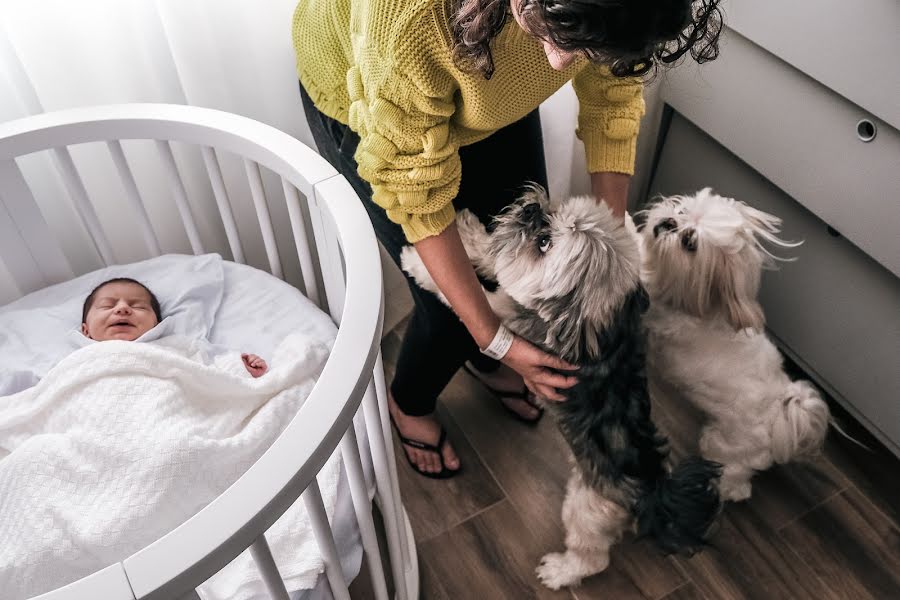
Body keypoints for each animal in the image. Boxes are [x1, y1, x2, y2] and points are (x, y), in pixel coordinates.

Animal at [400, 189, 716, 592]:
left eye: (544, 244)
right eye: (556, 212)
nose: (533, 209)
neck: (592, 326)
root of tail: (652, 490)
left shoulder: (503, 312)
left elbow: (467, 295)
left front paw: (416, 262)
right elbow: (491, 254)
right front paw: (465, 228)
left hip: (585, 508)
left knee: (593, 557)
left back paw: (558, 572)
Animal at [640, 189, 828, 502]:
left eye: (689, 243)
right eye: (681, 210)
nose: (668, 222)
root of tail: (779, 416)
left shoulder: (659, 316)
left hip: (726, 446)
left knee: (735, 479)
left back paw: (723, 490)